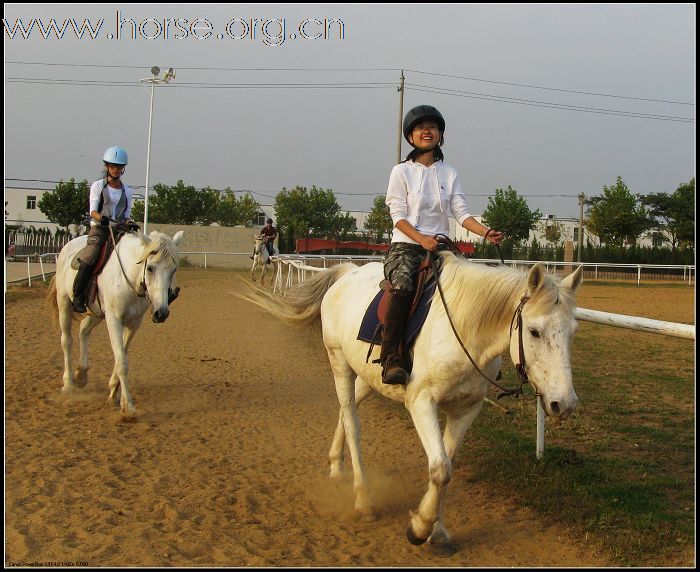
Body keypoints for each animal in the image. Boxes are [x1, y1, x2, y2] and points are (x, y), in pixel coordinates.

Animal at [46, 229, 183, 420]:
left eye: (173, 269)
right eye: (150, 268)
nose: (161, 313)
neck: (129, 279)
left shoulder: (134, 323)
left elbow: (121, 357)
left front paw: (113, 393)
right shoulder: (114, 320)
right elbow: (122, 363)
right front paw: (128, 407)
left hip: (95, 312)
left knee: (83, 330)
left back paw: (82, 375)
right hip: (64, 303)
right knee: (66, 341)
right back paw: (69, 384)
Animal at [243, 254, 584, 548]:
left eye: (572, 332)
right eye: (534, 331)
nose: (564, 404)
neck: (463, 330)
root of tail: (346, 274)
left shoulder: (466, 409)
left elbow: (447, 465)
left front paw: (437, 529)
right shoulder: (421, 403)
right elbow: (440, 468)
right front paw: (420, 529)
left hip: (367, 377)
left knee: (345, 410)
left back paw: (336, 466)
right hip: (339, 363)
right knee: (352, 422)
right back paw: (363, 500)